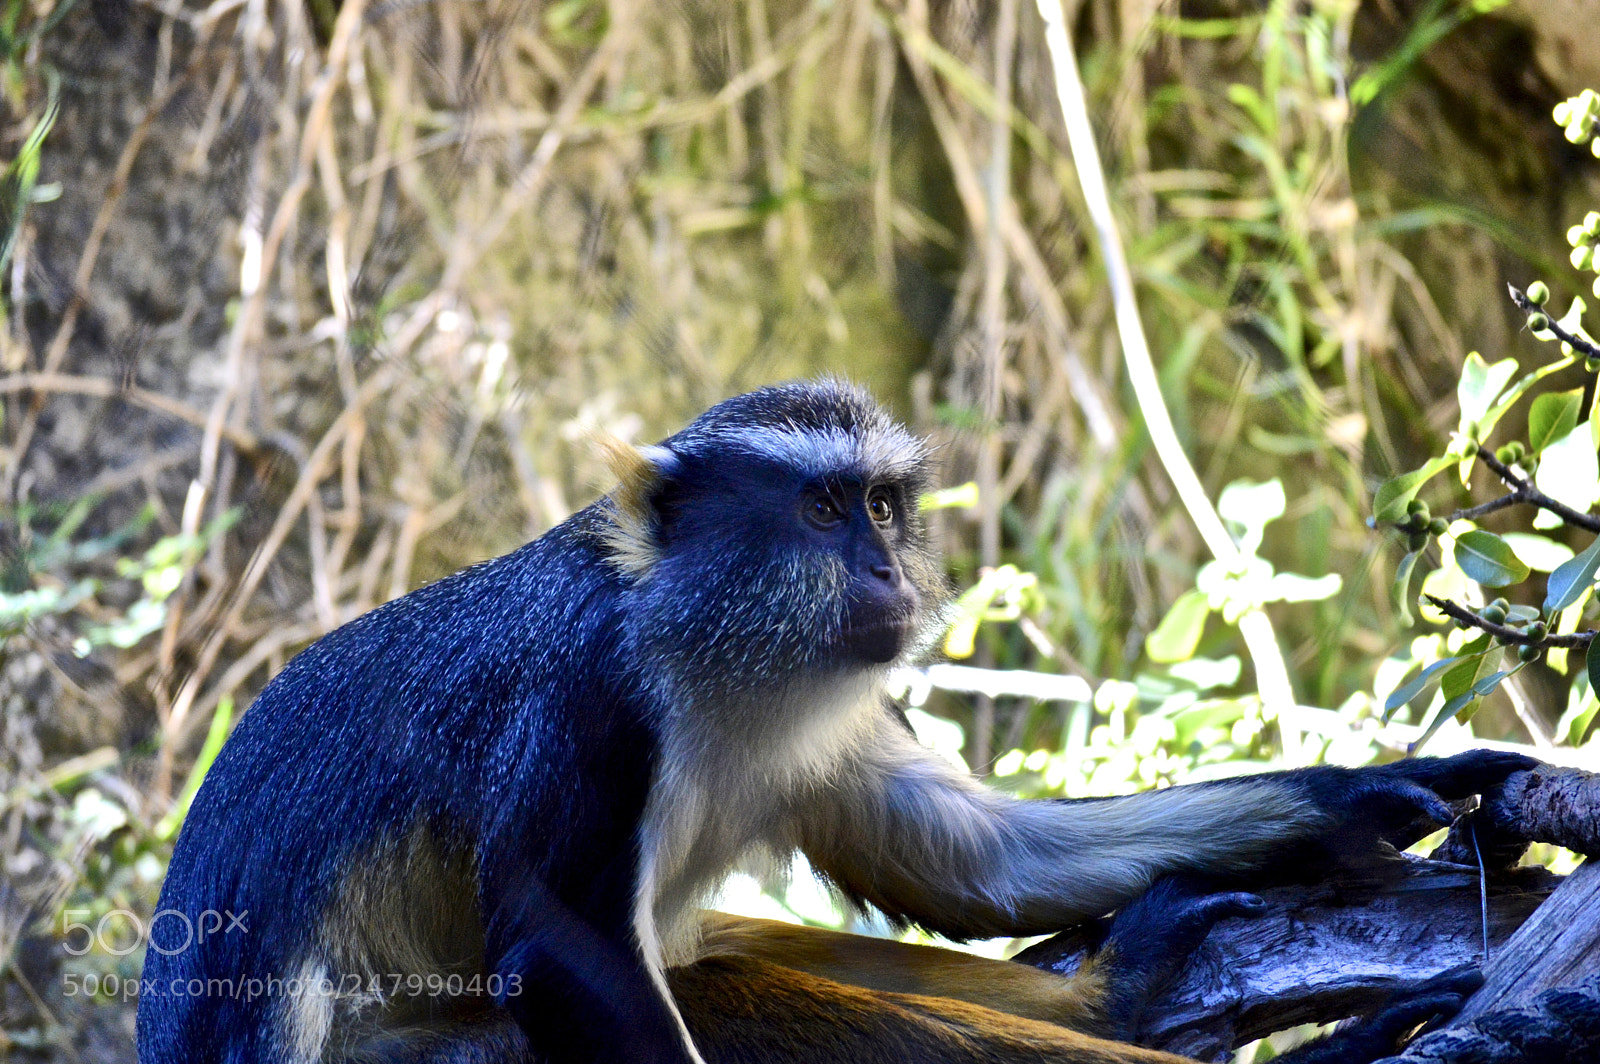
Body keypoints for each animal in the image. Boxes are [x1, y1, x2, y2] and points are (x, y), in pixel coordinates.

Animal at [136, 378, 1535, 1064]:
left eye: (881, 505)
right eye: (817, 511)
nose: (882, 570)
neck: (701, 645)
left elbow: (973, 858)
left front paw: (1373, 791)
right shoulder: (585, 700)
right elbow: (556, 947)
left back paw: (1113, 1001)